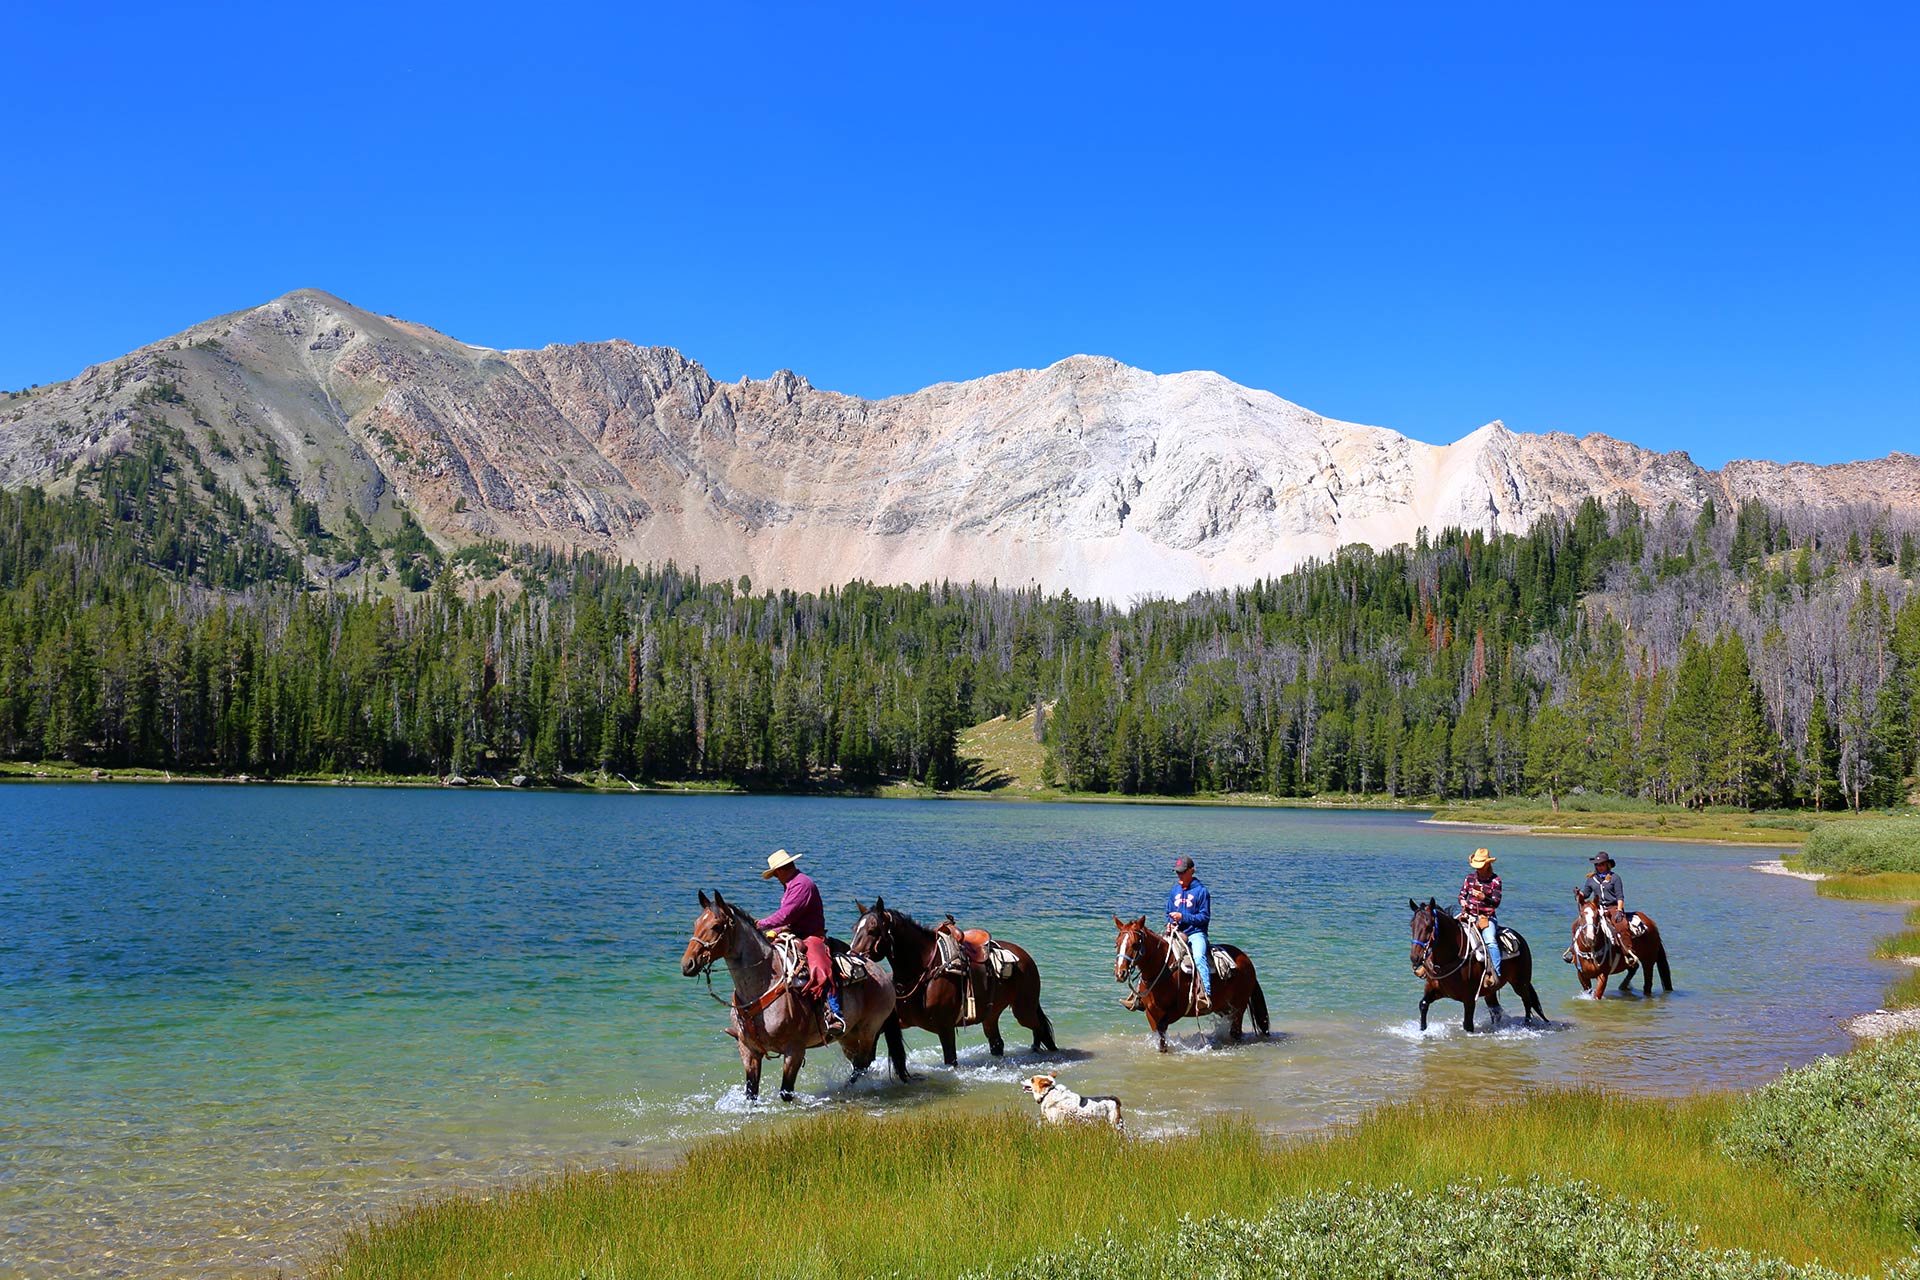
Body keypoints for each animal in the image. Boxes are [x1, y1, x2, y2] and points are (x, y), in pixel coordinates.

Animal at [679, 890, 910, 1105]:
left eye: (716, 926)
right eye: (696, 923)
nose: (687, 964)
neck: (761, 986)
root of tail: (883, 975)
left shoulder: (795, 1051)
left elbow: (786, 1091)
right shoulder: (748, 1050)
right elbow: (751, 1093)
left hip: (868, 1030)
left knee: (863, 1064)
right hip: (848, 1036)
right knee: (859, 1063)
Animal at [856, 898, 1067, 1066]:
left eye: (872, 930)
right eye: (855, 929)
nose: (855, 955)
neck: (923, 970)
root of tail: (1025, 957)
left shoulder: (946, 1029)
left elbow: (950, 1059)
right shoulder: (891, 1023)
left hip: (1024, 1010)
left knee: (1040, 1031)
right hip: (991, 1015)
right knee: (998, 1043)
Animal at [1121, 917, 1267, 1059]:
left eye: (1134, 944)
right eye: (1117, 943)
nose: (1120, 972)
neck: (1164, 969)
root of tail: (1247, 960)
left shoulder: (1178, 1010)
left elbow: (1162, 1028)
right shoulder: (1150, 1012)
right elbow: (1158, 1033)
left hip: (1238, 1008)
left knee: (1236, 1032)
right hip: (1224, 1008)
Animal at [1405, 898, 1551, 1036]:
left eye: (1429, 926)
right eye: (1412, 925)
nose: (1415, 958)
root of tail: (1520, 939)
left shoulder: (1469, 998)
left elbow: (1468, 1025)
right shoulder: (1434, 989)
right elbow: (1423, 1005)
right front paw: (1423, 1030)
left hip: (1520, 983)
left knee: (1527, 1001)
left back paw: (1527, 1025)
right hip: (1491, 990)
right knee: (1497, 1010)